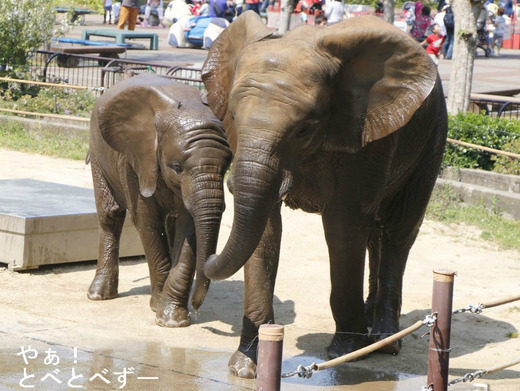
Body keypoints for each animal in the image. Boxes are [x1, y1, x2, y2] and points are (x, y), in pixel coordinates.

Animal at [87, 73, 232, 328]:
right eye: (177, 167)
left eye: (226, 167)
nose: (196, 309)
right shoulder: (134, 161)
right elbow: (147, 222)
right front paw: (158, 308)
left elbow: (188, 229)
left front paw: (173, 320)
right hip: (97, 152)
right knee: (110, 214)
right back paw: (98, 294)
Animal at [201, 12, 448, 378]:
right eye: (231, 115)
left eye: (304, 128)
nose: (207, 258)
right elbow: (265, 229)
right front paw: (246, 366)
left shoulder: (364, 135)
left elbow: (343, 225)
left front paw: (348, 351)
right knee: (375, 233)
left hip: (433, 135)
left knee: (397, 230)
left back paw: (385, 341)